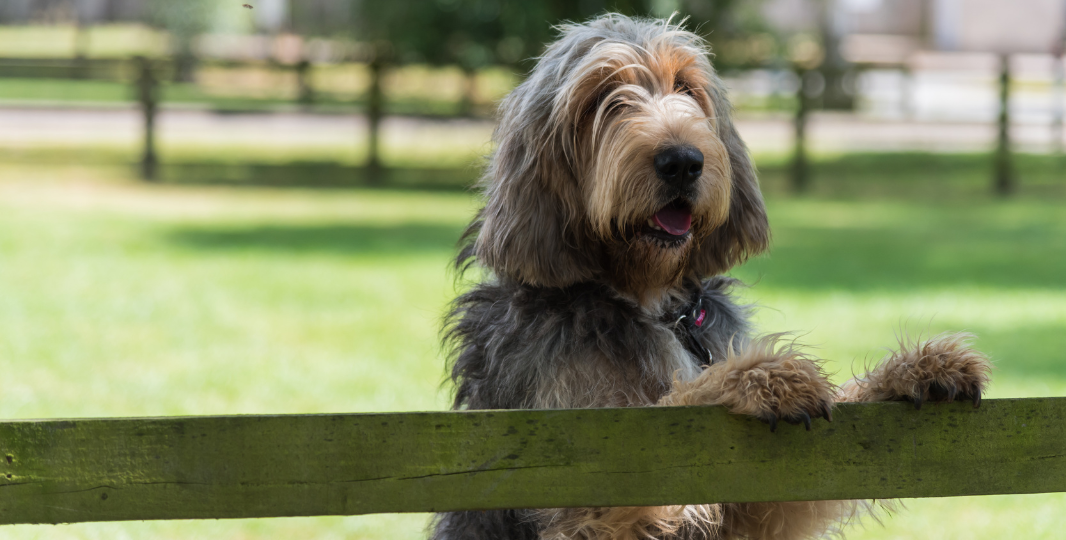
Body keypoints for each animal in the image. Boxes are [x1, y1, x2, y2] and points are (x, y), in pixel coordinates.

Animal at [428, 12, 993, 540]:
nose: (682, 160)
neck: (653, 302)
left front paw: (915, 369)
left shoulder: (754, 504)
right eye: (602, 97)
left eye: (686, 86)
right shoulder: (583, 476)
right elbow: (674, 403)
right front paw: (759, 378)